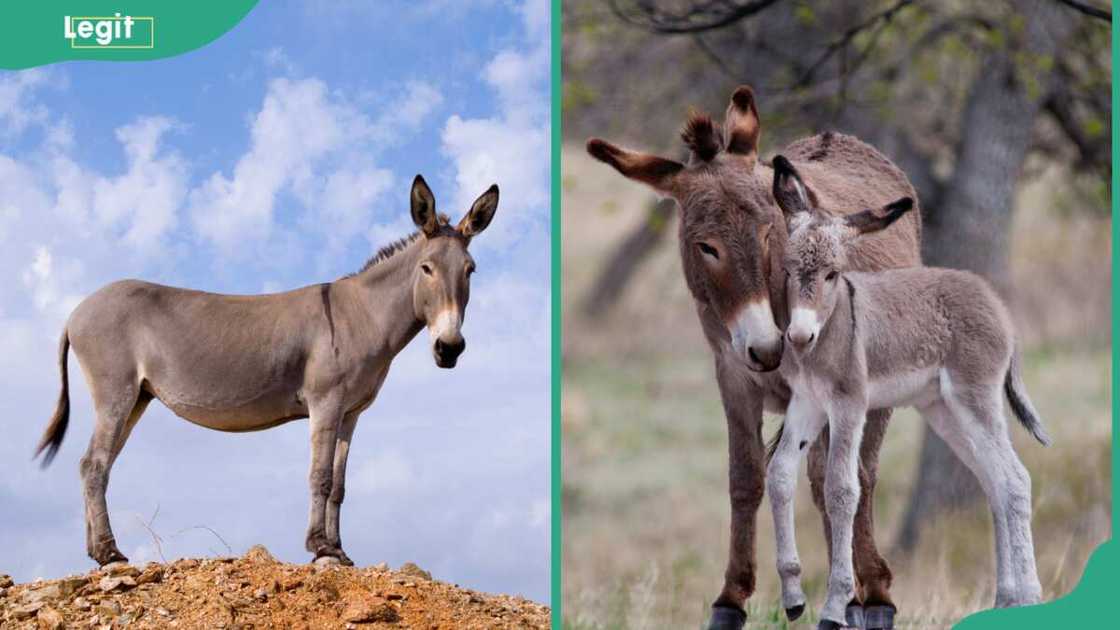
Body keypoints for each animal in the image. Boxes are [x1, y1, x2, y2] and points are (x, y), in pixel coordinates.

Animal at [770, 154, 1048, 623]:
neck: (829, 330)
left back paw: (1028, 598)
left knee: (1015, 479)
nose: (799, 336)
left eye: (832, 274)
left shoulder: (849, 405)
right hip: (944, 410)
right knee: (993, 481)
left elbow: (841, 490)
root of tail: (997, 305)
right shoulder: (807, 404)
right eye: (787, 271)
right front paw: (792, 596)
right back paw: (1004, 599)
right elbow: (779, 474)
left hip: (976, 397)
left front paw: (835, 606)